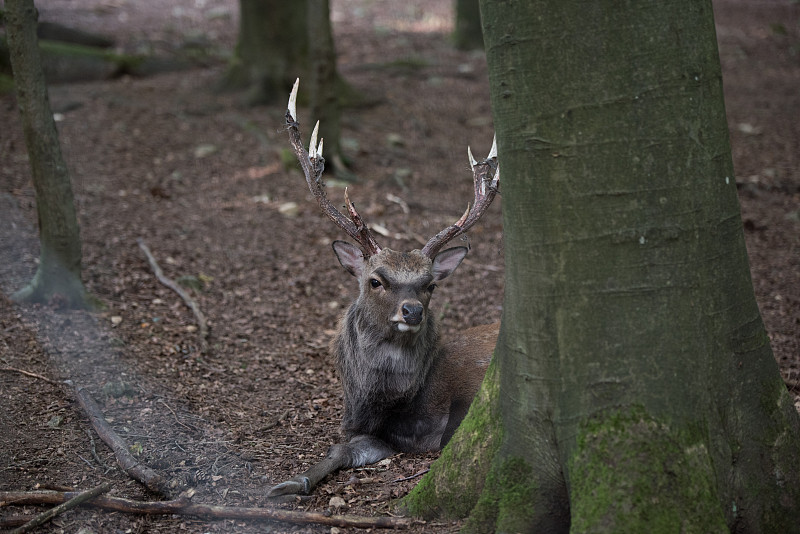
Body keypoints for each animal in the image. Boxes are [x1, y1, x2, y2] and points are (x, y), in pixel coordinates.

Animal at [268, 79, 500, 498]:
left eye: (430, 285)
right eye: (376, 280)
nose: (412, 311)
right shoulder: (370, 430)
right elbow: (339, 448)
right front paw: (290, 483)